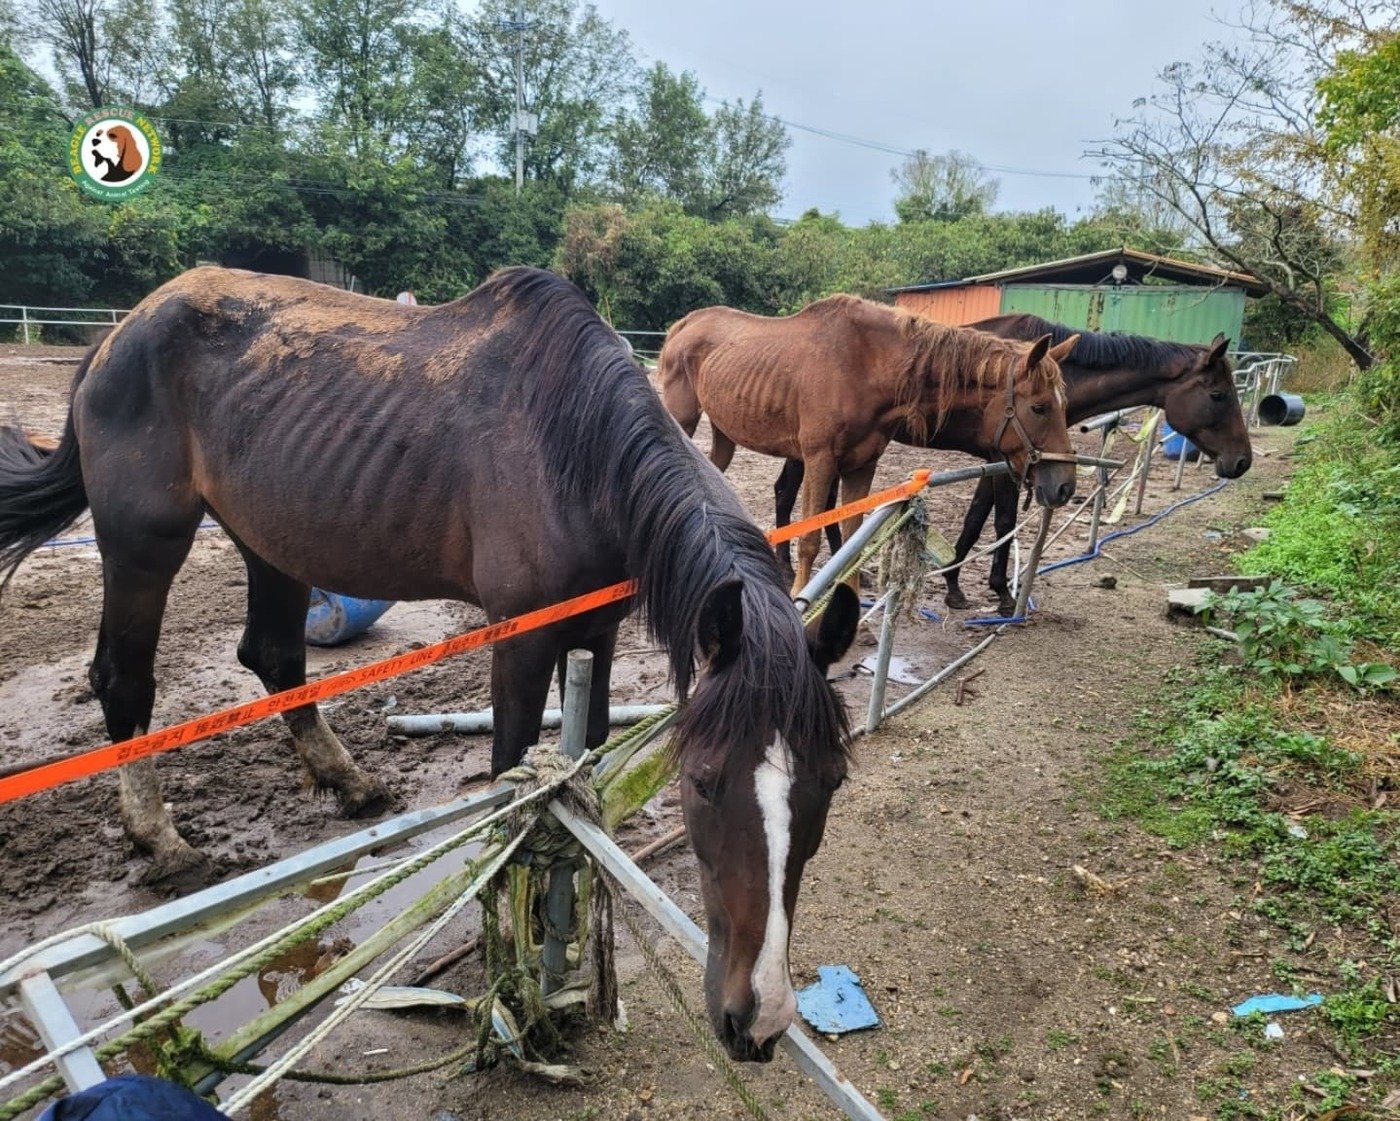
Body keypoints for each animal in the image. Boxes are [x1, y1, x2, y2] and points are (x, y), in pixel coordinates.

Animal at [0, 264, 862, 1058]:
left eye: (831, 779)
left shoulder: (597, 634)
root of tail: (122, 332)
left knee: (273, 655)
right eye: (704, 781)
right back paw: (161, 838)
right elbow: (514, 785)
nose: (759, 1019)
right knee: (123, 679)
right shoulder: (520, 640)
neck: (577, 452)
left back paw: (348, 780)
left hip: (267, 537)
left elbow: (583, 776)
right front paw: (514, 966)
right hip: (143, 543)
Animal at [658, 296, 1080, 593]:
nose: (1064, 486)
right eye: (1039, 407)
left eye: (1065, 406)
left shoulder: (863, 465)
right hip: (683, 418)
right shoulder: (819, 460)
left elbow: (851, 539)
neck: (865, 368)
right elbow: (810, 537)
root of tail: (683, 325)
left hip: (723, 433)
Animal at [772, 312, 1254, 612]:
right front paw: (997, 593)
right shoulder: (1004, 462)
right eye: (1218, 395)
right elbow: (1001, 521)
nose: (1242, 462)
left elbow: (976, 520)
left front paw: (955, 583)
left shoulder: (1002, 461)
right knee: (790, 495)